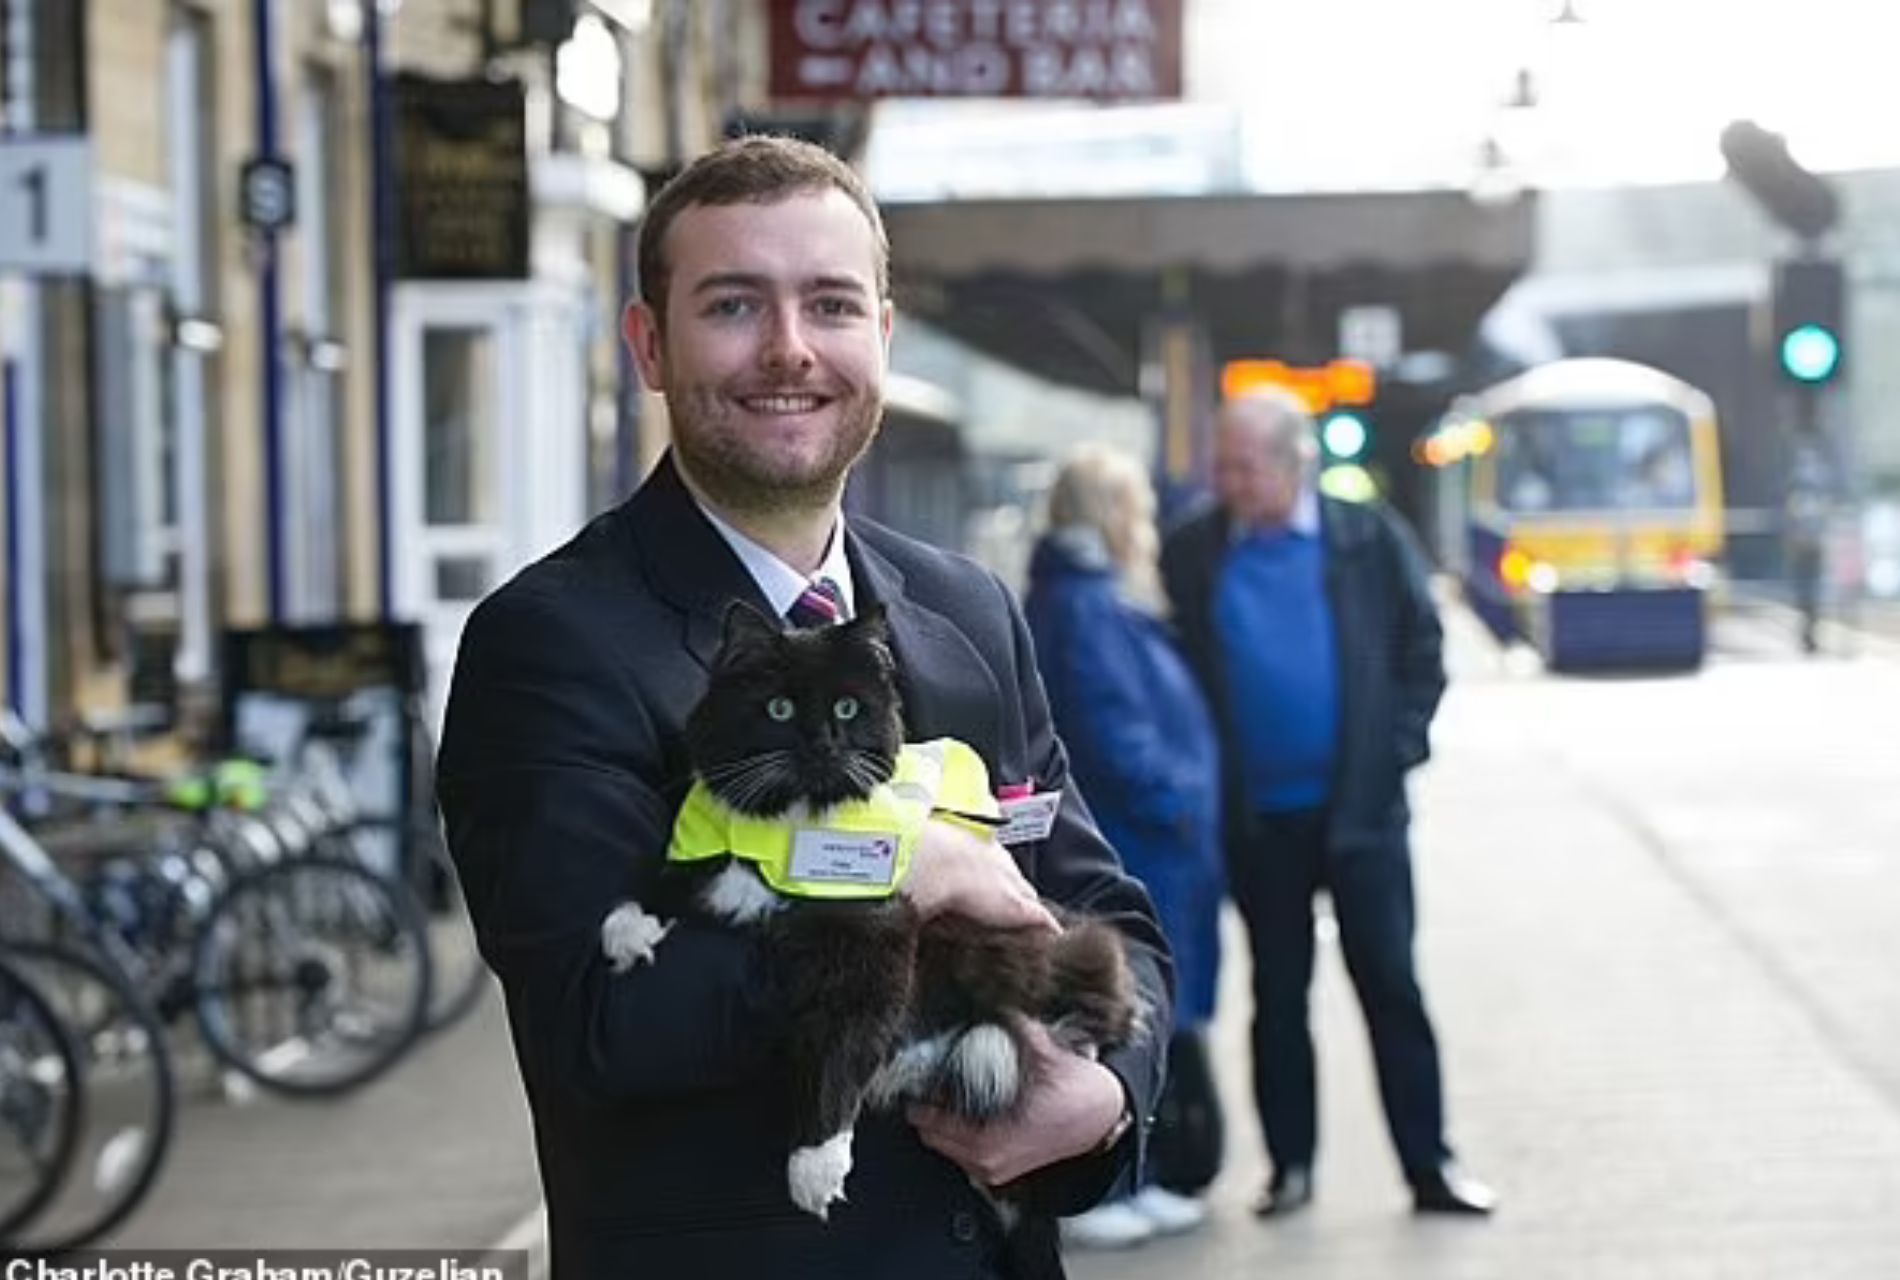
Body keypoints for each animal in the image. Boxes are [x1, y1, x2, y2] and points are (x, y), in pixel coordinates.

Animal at [608, 600, 1132, 1215]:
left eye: (847, 707)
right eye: (779, 709)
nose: (822, 742)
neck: (790, 827)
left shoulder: (876, 938)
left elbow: (841, 1047)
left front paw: (814, 1164)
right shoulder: (707, 857)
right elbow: (675, 878)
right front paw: (626, 927)